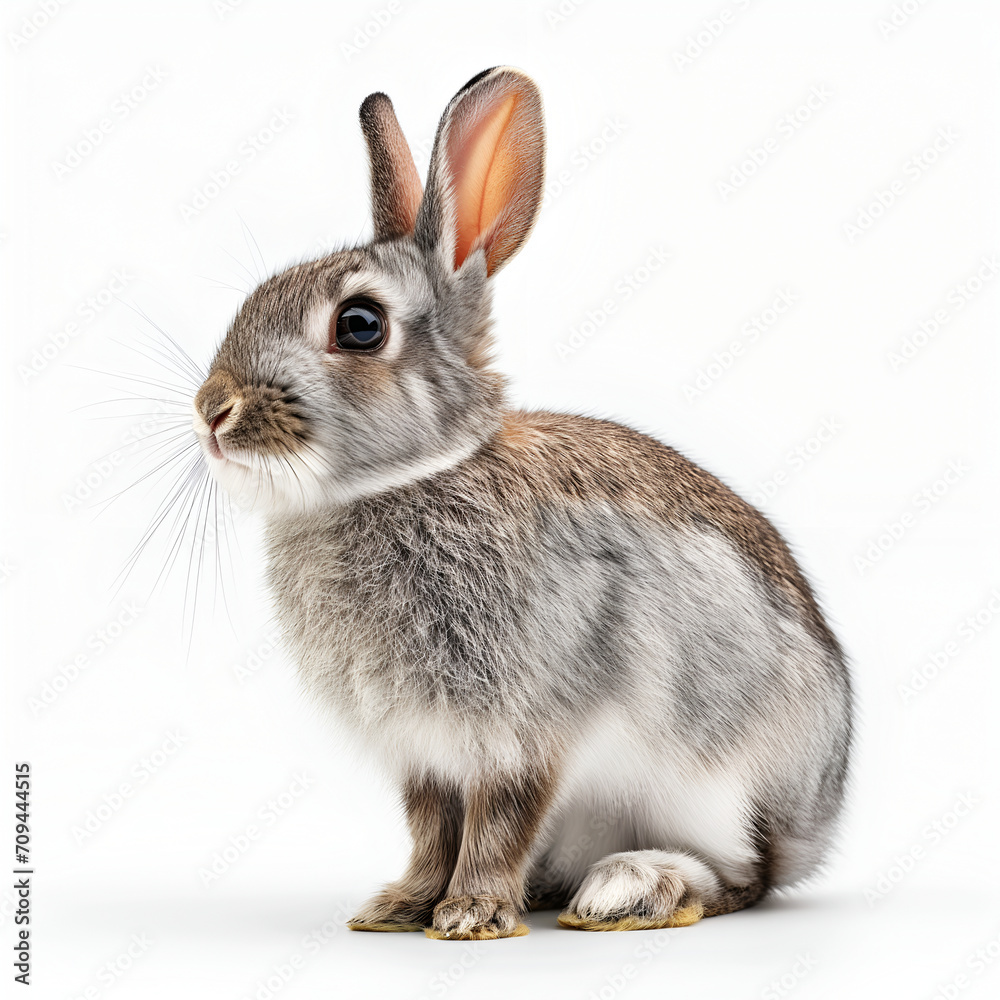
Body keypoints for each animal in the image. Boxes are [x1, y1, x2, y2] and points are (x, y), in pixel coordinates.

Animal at [190, 66, 853, 940]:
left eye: (360, 325)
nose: (211, 410)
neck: (413, 477)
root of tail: (813, 820)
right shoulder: (427, 753)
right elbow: (433, 827)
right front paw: (402, 906)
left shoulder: (528, 728)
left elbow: (499, 820)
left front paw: (471, 914)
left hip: (711, 786)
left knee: (743, 879)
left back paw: (628, 890)